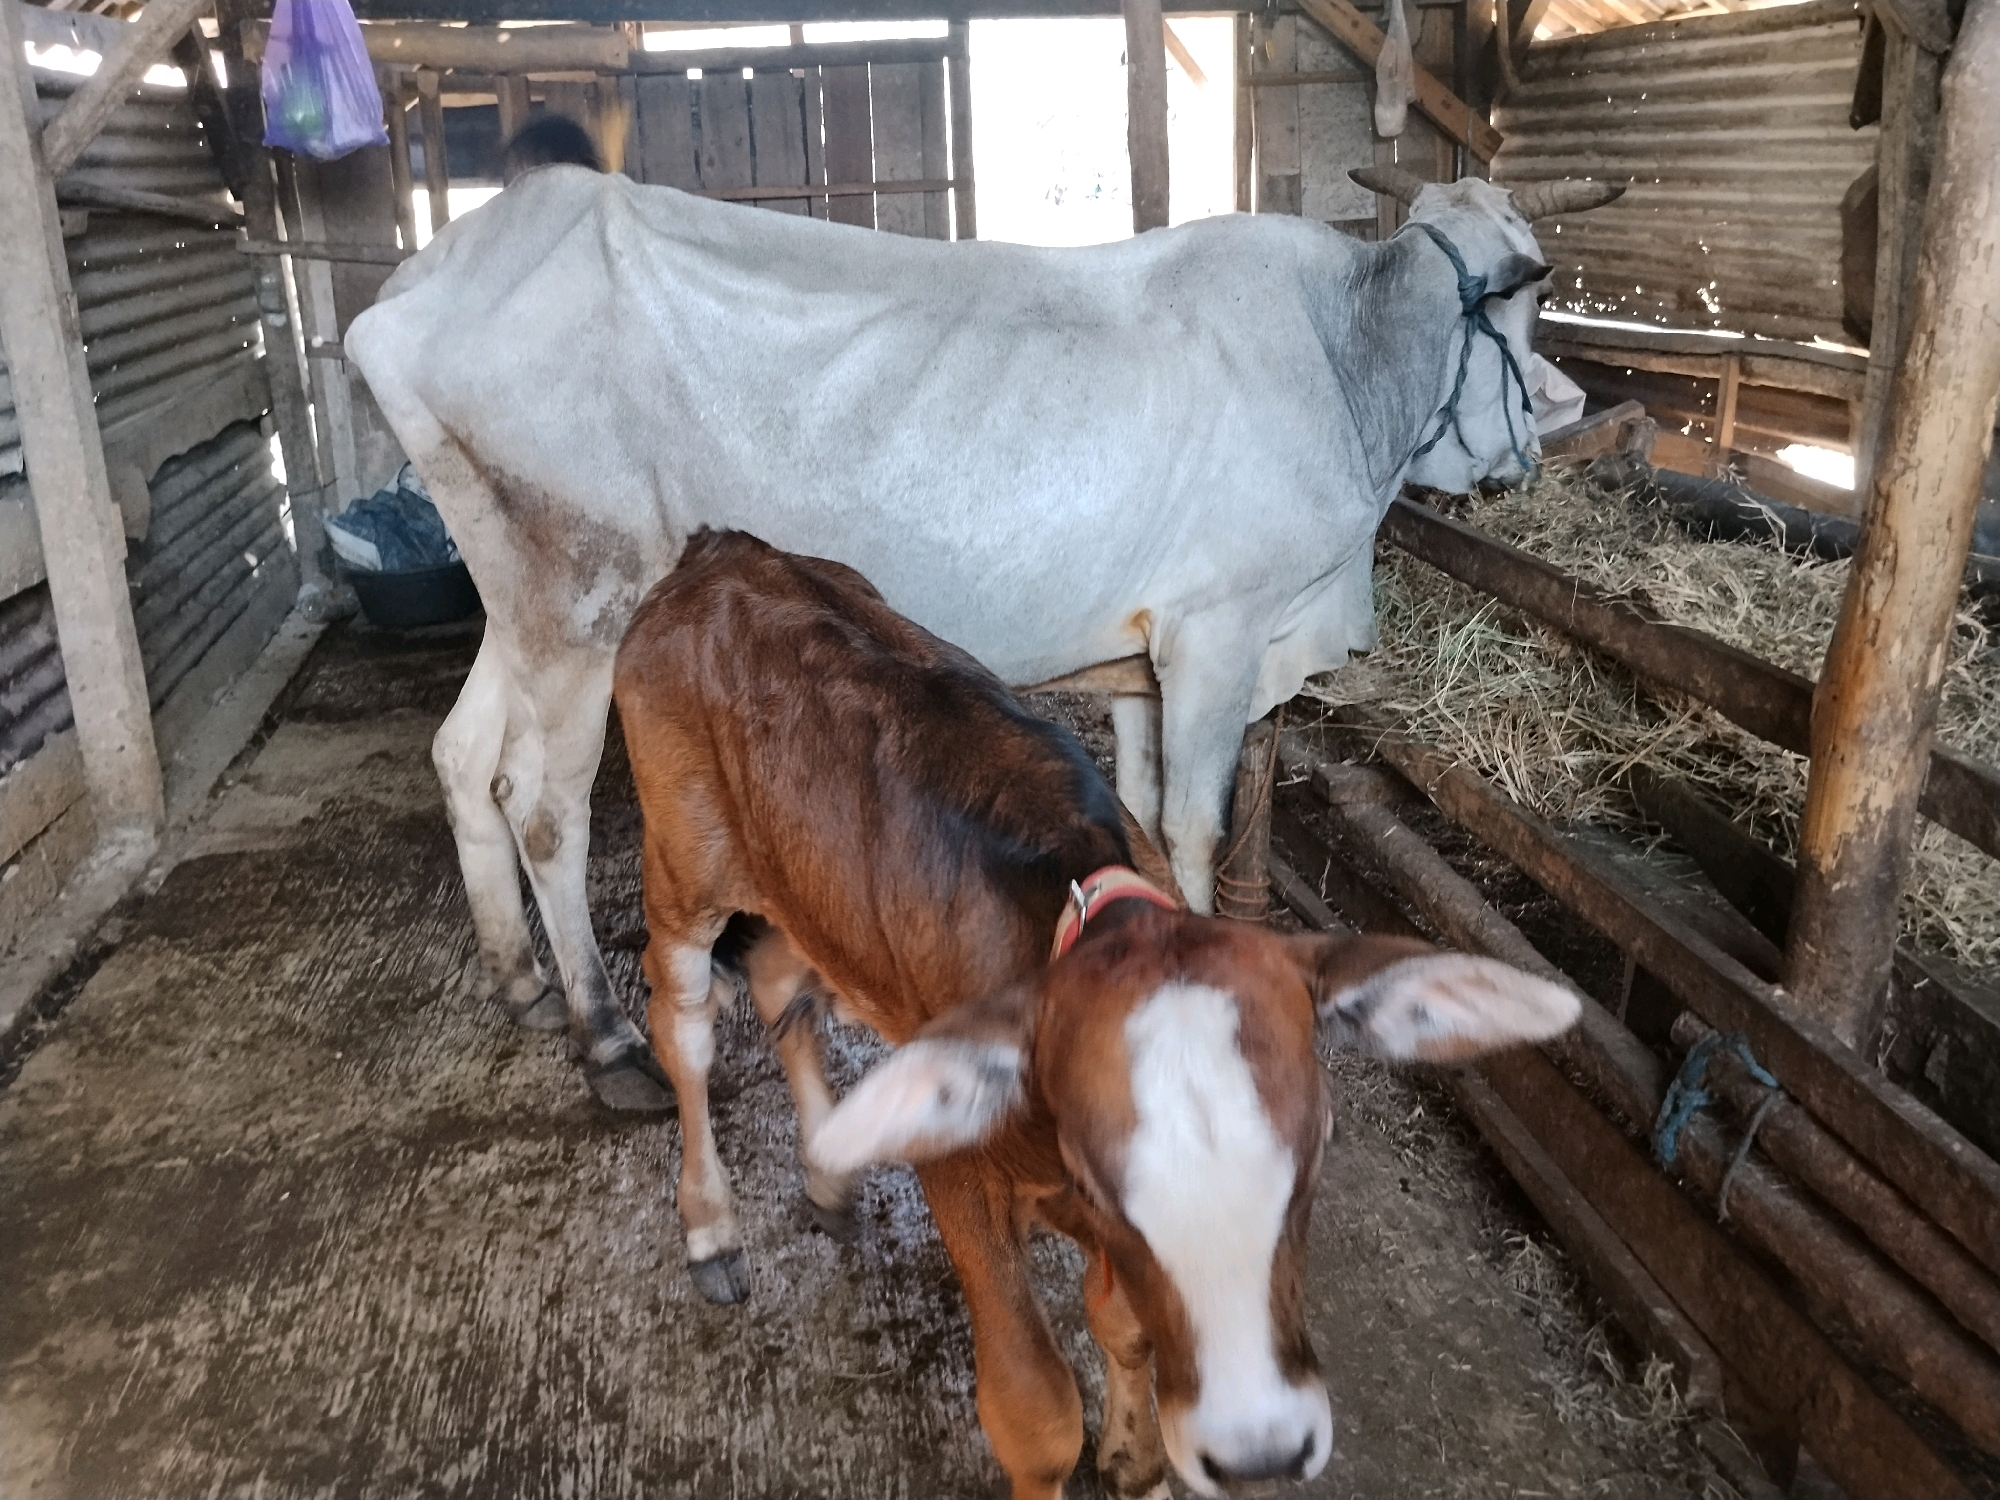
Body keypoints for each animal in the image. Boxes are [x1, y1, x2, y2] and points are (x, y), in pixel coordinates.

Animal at [344, 159, 1619, 1111]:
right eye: (1525, 292)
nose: (1544, 437)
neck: (1346, 360)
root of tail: (417, 287)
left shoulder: (1143, 661)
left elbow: (1143, 817)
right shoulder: (1217, 633)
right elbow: (1196, 833)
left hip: (520, 602)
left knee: (461, 757)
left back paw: (520, 982)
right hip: (580, 596)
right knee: (539, 802)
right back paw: (606, 1038)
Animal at [610, 528, 1581, 1500]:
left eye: (1317, 1152)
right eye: (1100, 1175)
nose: (1262, 1449)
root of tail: (723, 550)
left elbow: (1124, 1325)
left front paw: (1133, 1454)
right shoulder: (956, 1168)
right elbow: (1034, 1409)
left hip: (795, 877)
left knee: (781, 981)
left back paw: (828, 1173)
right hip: (682, 865)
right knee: (683, 1023)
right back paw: (711, 1229)